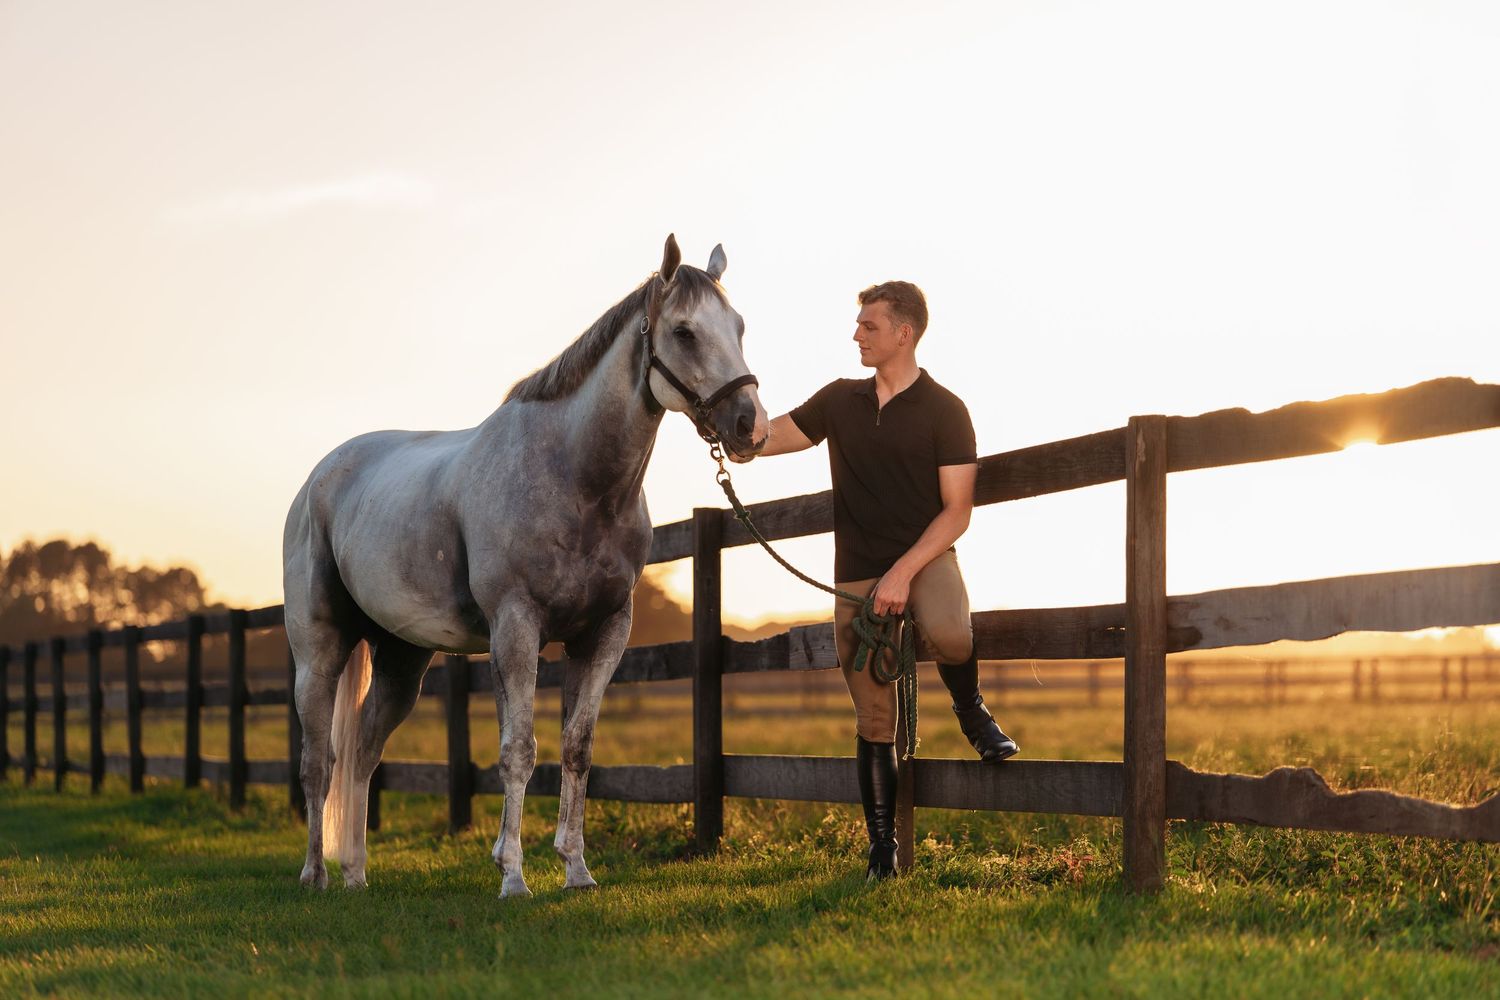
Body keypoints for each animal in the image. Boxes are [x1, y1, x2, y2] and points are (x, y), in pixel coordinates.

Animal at [282, 235, 767, 896]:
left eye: (739, 325)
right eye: (685, 331)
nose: (750, 425)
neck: (574, 477)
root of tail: (320, 477)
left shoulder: (604, 634)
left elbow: (577, 748)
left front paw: (577, 869)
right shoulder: (516, 627)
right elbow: (519, 750)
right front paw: (513, 875)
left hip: (402, 659)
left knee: (363, 753)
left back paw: (356, 875)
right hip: (320, 652)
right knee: (318, 761)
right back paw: (315, 875)